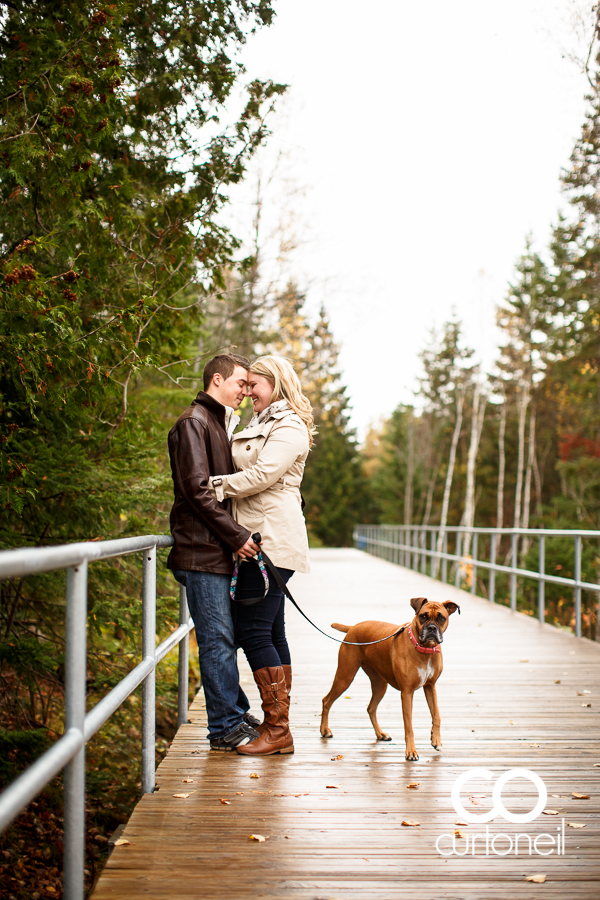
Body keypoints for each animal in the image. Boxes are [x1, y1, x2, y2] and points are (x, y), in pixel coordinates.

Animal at [322, 596, 458, 760]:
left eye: (441, 618)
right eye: (423, 616)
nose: (431, 628)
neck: (423, 649)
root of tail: (353, 627)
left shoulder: (430, 687)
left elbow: (436, 715)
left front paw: (436, 740)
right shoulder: (407, 693)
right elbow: (409, 726)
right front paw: (411, 752)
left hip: (380, 684)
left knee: (371, 708)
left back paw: (380, 734)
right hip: (345, 676)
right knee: (326, 700)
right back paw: (325, 730)